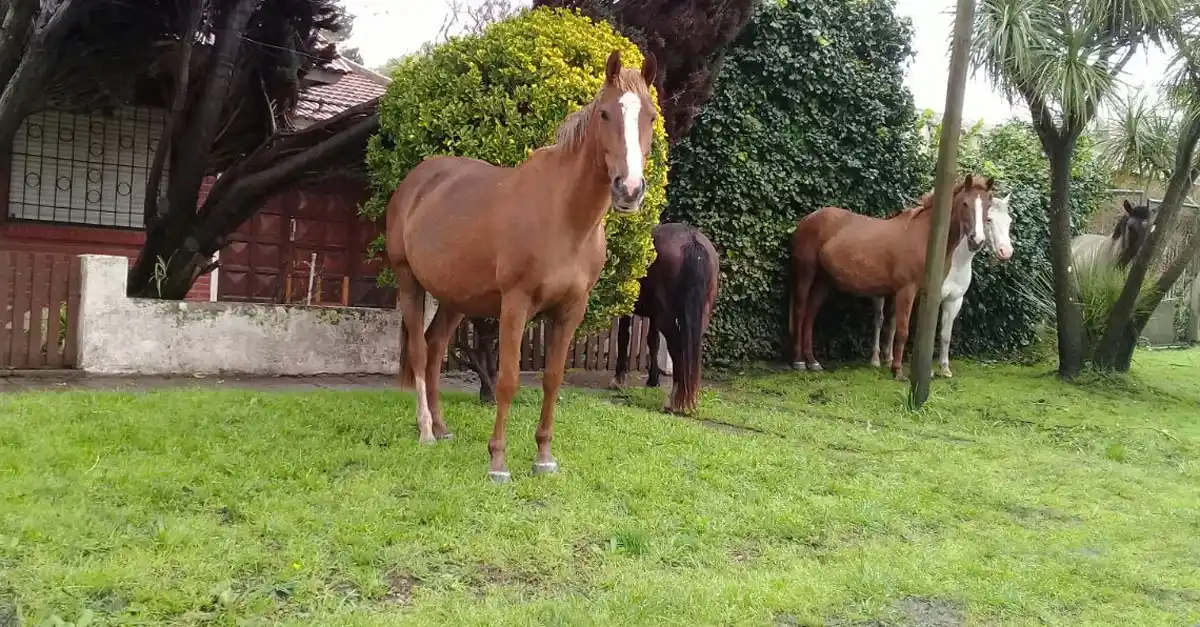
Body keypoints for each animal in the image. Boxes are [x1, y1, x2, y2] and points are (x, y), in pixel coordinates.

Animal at [385, 50, 659, 483]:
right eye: (604, 114)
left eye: (649, 116)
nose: (629, 189)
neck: (565, 217)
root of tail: (415, 182)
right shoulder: (515, 305)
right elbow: (508, 380)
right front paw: (498, 462)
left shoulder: (570, 311)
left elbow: (552, 379)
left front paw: (544, 457)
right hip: (409, 281)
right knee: (417, 350)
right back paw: (426, 430)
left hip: (455, 298)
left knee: (434, 348)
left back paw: (443, 428)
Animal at [612, 222, 720, 414]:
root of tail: (691, 240)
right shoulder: (654, 315)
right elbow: (652, 342)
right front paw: (653, 380)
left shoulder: (627, 305)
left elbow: (623, 337)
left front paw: (618, 380)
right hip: (699, 315)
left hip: (667, 316)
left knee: (677, 347)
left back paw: (675, 401)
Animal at [789, 174, 994, 380]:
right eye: (965, 203)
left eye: (988, 205)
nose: (977, 240)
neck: (926, 238)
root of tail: (808, 218)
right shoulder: (906, 290)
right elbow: (902, 331)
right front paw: (898, 371)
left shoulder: (923, 293)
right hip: (806, 271)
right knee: (800, 310)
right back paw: (799, 362)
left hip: (824, 279)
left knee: (811, 313)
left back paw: (812, 361)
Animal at [871, 193, 1015, 378]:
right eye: (988, 219)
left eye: (1009, 221)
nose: (1006, 252)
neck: (954, 260)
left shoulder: (954, 300)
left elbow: (945, 334)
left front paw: (945, 369)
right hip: (880, 294)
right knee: (879, 320)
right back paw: (875, 359)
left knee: (893, 321)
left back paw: (889, 359)